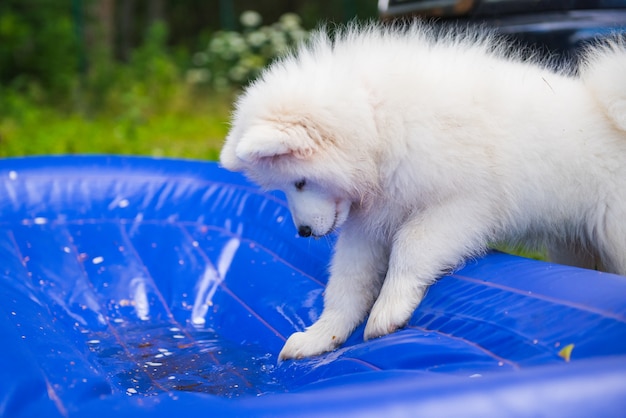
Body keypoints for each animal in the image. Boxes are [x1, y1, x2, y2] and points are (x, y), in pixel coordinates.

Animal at [221, 22, 624, 360]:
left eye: (300, 182)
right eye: (289, 187)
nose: (303, 232)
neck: (378, 122)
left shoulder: (463, 205)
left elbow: (411, 246)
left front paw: (389, 309)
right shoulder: (369, 222)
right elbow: (347, 282)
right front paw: (320, 335)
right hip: (574, 244)